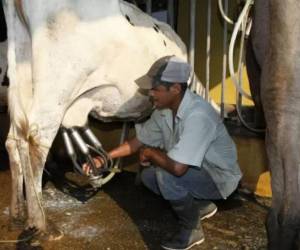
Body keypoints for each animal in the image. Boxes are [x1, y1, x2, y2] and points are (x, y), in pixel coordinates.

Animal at [2, 0, 213, 238]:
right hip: (57, 84)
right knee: (36, 140)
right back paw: (41, 223)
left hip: (21, 74)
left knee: (15, 140)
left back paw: (17, 213)